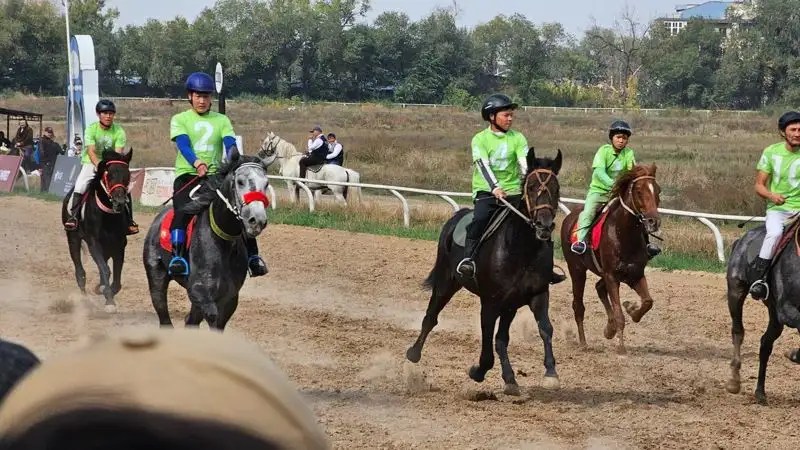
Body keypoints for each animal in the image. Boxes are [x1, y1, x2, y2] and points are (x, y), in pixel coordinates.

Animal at [63, 149, 135, 312]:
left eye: (128, 175)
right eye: (109, 175)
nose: (119, 202)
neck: (107, 215)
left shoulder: (119, 245)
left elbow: (116, 278)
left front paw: (104, 291)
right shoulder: (94, 243)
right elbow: (105, 269)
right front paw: (109, 300)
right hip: (73, 239)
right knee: (80, 271)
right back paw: (84, 299)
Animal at [142, 152, 270, 330]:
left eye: (266, 183)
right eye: (240, 182)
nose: (257, 220)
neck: (223, 241)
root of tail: (157, 221)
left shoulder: (230, 298)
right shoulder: (198, 291)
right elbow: (210, 316)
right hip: (156, 278)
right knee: (164, 316)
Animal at [406, 148, 564, 394]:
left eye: (556, 189)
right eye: (530, 187)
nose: (544, 226)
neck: (521, 249)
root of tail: (456, 217)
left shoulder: (535, 295)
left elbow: (544, 329)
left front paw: (550, 374)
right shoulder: (490, 302)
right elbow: (488, 342)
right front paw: (477, 372)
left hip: (509, 305)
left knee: (501, 339)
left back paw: (510, 379)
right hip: (446, 283)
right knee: (430, 317)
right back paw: (413, 353)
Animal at [556, 163, 664, 354]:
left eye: (657, 190)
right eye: (638, 190)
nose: (653, 221)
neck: (624, 235)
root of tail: (569, 217)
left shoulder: (635, 274)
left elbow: (647, 302)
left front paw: (632, 311)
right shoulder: (612, 276)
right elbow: (620, 314)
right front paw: (621, 347)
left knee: (599, 288)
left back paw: (609, 328)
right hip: (577, 269)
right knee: (578, 306)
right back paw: (583, 343)